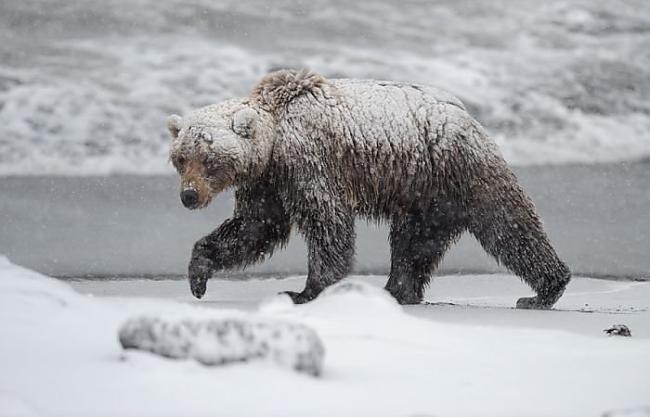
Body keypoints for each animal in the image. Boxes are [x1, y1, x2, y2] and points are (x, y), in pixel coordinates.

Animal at [166, 69, 568, 308]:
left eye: (208, 159)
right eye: (181, 158)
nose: (189, 196)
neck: (275, 142)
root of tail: (468, 114)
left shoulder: (308, 162)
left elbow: (326, 223)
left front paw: (304, 291)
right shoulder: (268, 182)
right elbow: (254, 227)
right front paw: (198, 274)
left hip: (458, 168)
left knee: (508, 226)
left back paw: (544, 290)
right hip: (424, 193)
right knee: (414, 242)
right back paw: (397, 291)